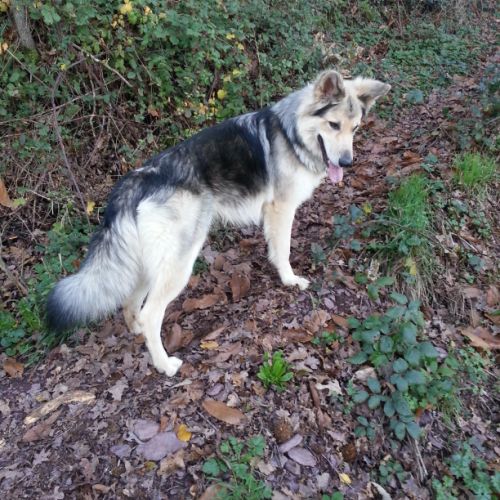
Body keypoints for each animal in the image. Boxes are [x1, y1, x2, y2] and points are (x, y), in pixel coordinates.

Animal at [46, 70, 390, 376]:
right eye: (333, 125)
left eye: (355, 128)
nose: (347, 163)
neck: (291, 133)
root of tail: (139, 179)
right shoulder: (281, 210)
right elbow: (284, 251)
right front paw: (290, 280)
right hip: (179, 263)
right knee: (151, 313)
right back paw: (164, 365)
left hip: (149, 264)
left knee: (134, 305)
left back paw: (137, 332)